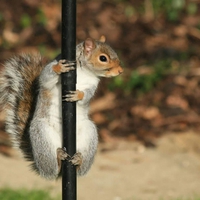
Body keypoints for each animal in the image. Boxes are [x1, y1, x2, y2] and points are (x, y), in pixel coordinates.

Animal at [0, 36, 123, 180]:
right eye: (103, 58)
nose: (121, 71)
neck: (85, 72)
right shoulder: (50, 71)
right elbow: (46, 77)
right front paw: (59, 67)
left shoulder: (93, 85)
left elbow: (87, 96)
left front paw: (78, 95)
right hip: (42, 135)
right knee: (52, 169)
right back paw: (58, 158)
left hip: (89, 133)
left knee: (80, 170)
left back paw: (79, 160)